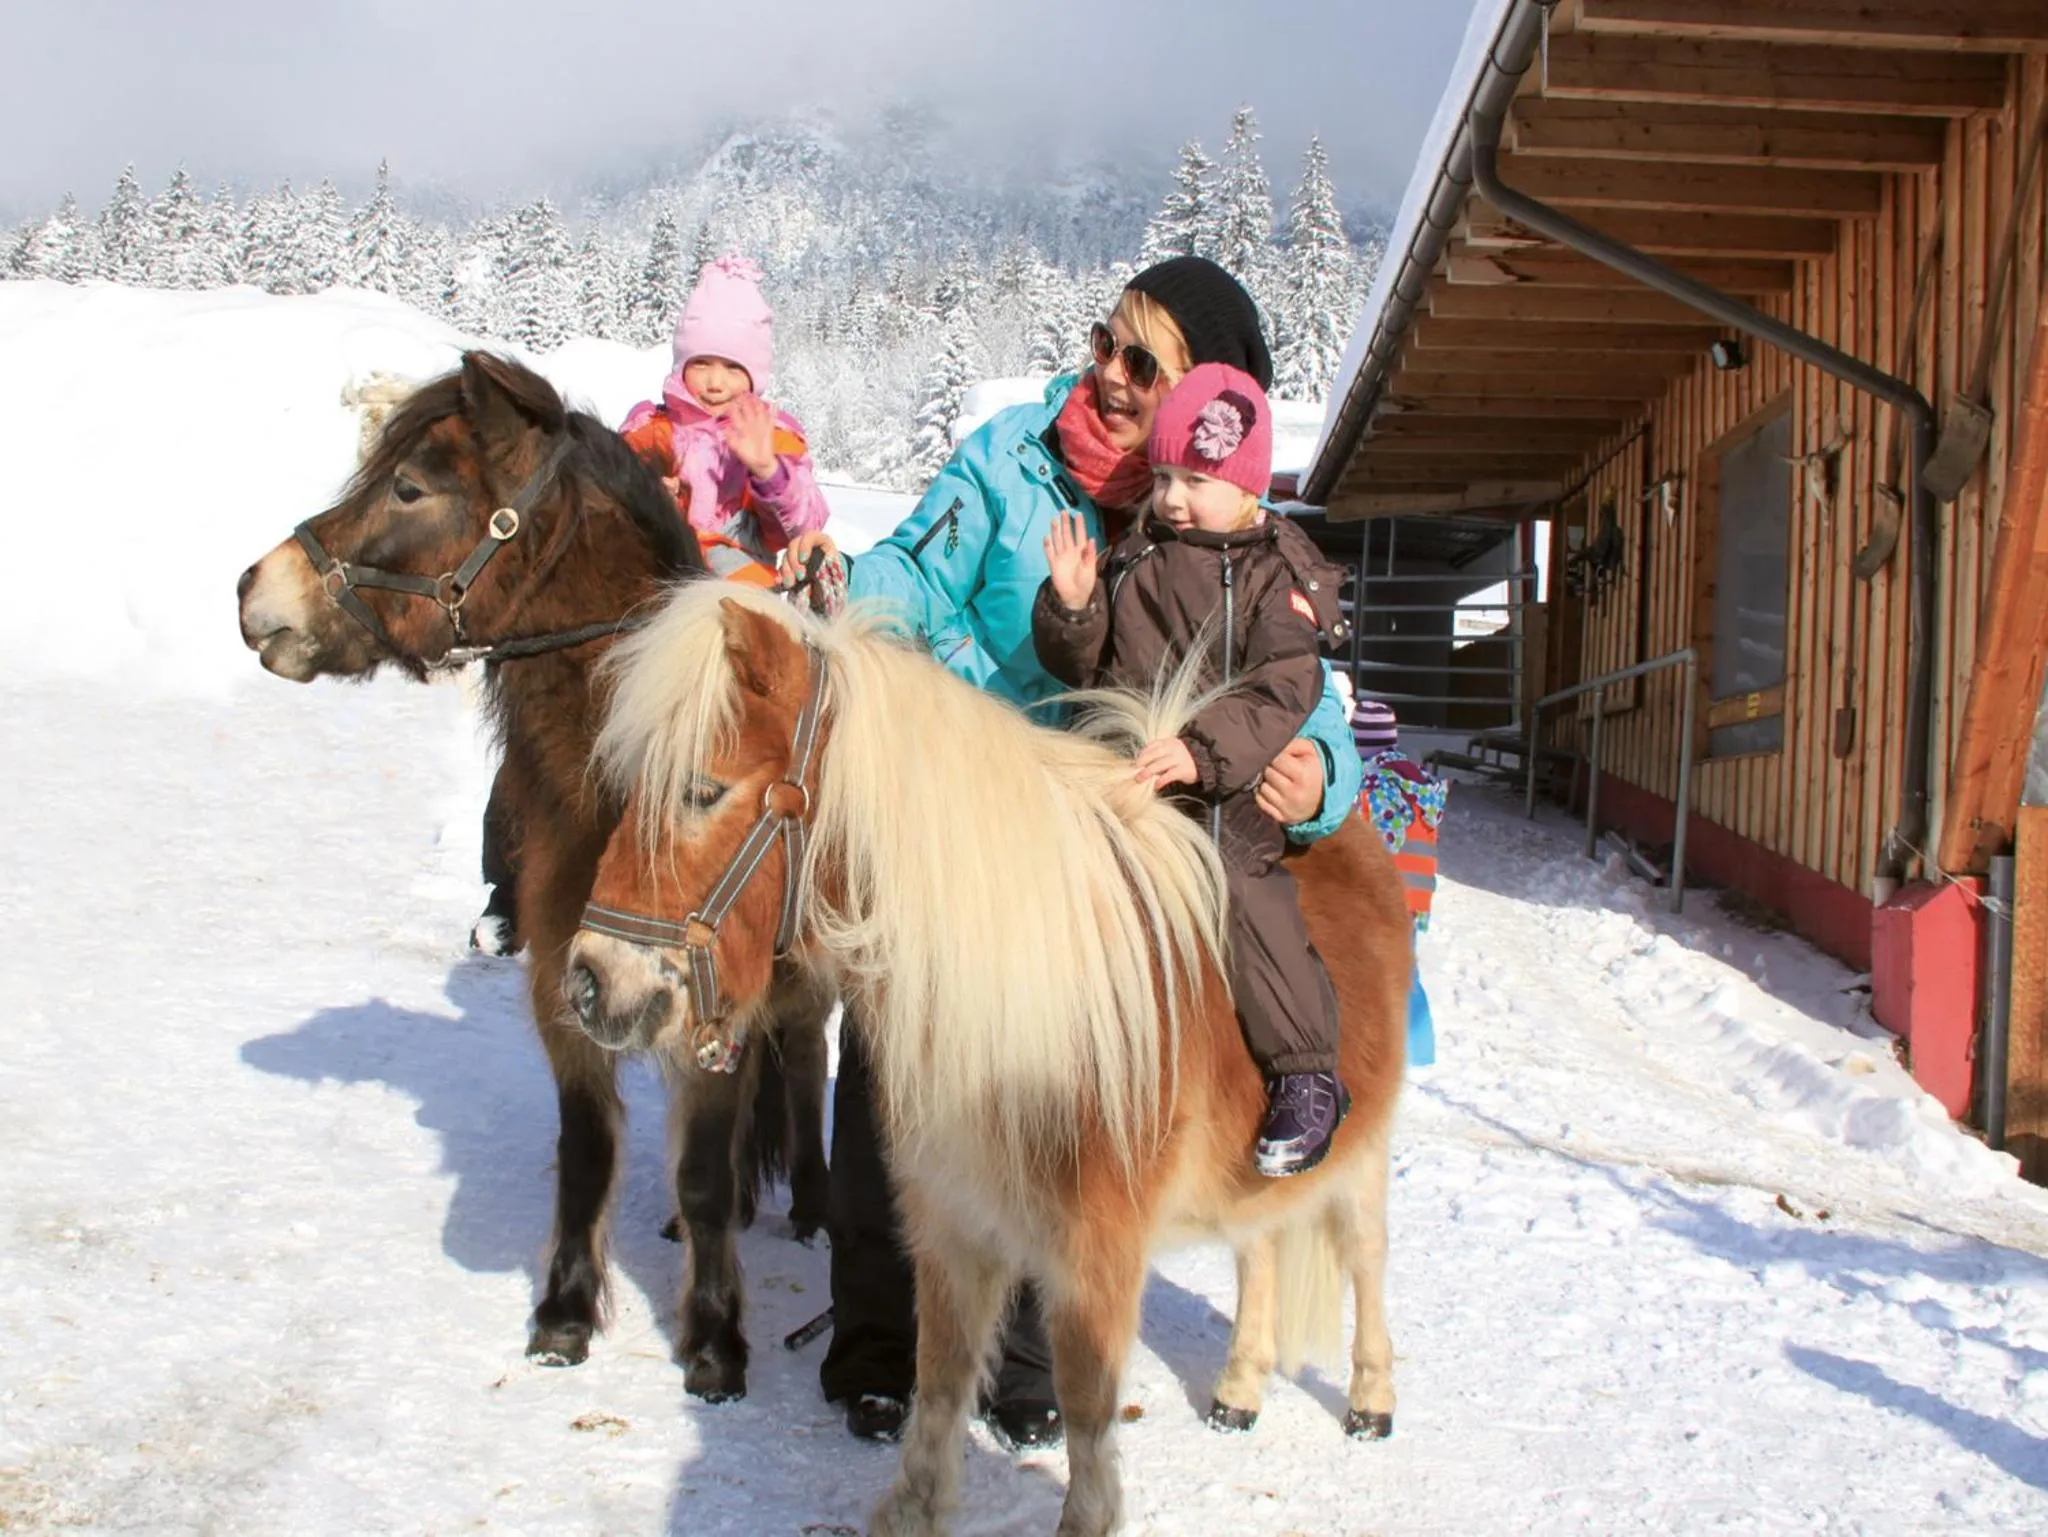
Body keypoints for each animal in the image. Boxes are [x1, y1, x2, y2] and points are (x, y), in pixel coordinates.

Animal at [235, 351, 834, 1401]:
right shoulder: (568, 980)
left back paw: (807, 1199)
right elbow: (587, 1151)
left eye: (408, 486)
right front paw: (563, 1311)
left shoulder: (709, 989)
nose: (253, 589)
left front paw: (715, 1338)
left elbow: (708, 1170)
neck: (619, 783)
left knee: (799, 1066)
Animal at [565, 582, 1409, 1537]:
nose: (592, 981)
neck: (1032, 984)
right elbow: (938, 1377)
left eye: (703, 790)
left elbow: (1087, 1404)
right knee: (1257, 1247)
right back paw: (1238, 1389)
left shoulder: (1095, 1254)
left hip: (1360, 1159)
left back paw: (1371, 1401)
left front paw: (1084, 1518)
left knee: (1365, 1259)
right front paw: (915, 1506)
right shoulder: (950, 1218)